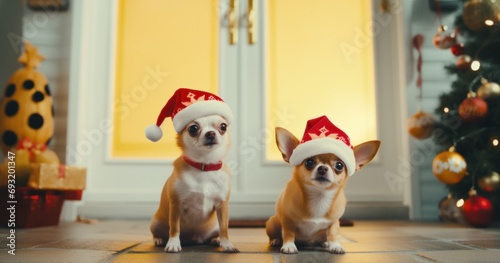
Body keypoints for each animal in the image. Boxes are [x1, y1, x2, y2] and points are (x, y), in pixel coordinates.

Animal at [266, 123, 378, 254]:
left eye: (339, 165)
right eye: (309, 162)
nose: (323, 168)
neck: (319, 196)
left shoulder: (334, 223)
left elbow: (333, 234)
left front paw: (335, 245)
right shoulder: (288, 220)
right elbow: (288, 233)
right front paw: (289, 245)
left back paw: (325, 243)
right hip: (272, 223)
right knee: (276, 234)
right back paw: (276, 240)